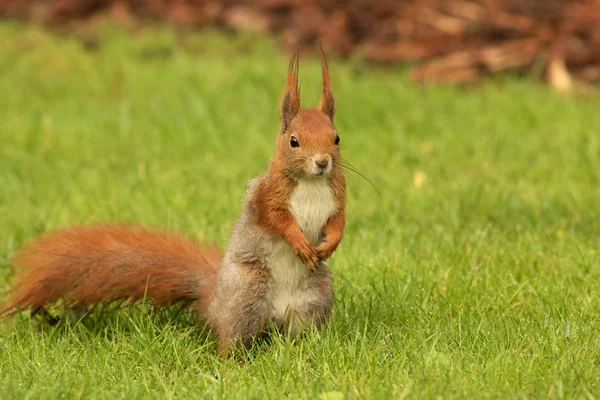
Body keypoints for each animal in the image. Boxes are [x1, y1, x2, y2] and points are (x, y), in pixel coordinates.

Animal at [1, 48, 346, 358]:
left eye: (337, 137)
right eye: (293, 141)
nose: (322, 162)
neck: (310, 183)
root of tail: (215, 302)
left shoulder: (337, 196)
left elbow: (337, 222)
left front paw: (328, 245)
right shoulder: (267, 196)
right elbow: (277, 220)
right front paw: (299, 242)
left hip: (313, 301)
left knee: (298, 332)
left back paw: (305, 353)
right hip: (246, 296)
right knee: (233, 339)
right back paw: (233, 364)